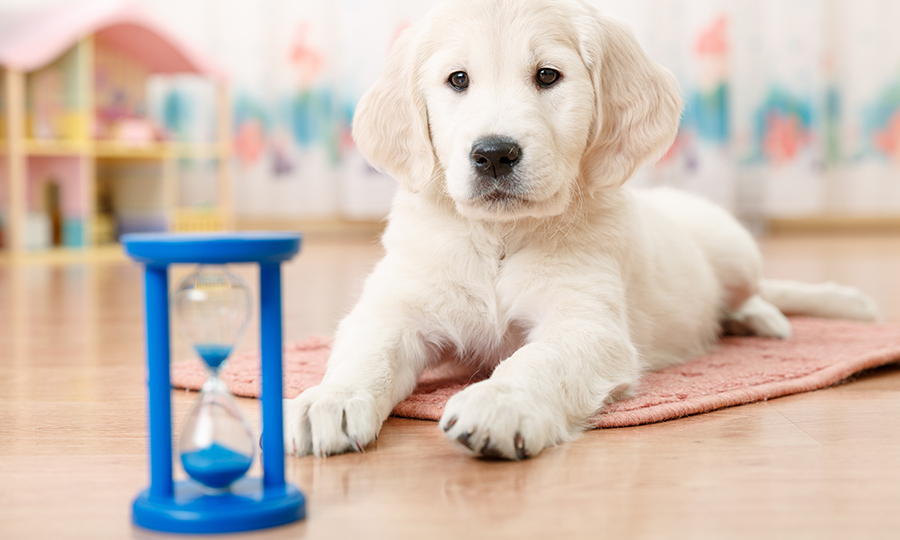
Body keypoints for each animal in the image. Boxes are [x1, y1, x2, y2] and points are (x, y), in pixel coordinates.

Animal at [284, 0, 880, 460]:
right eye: (457, 80)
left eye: (548, 75)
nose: (493, 154)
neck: (499, 239)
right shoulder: (397, 305)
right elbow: (368, 351)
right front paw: (329, 400)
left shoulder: (588, 323)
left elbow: (538, 360)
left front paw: (499, 403)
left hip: (735, 250)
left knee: (754, 291)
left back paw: (761, 318)